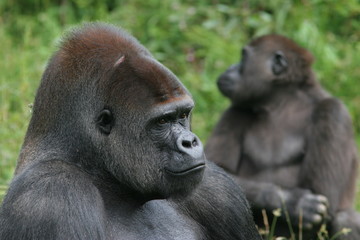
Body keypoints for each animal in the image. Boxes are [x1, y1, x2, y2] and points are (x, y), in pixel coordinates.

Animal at [205, 34, 360, 239]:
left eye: (243, 58)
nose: (230, 67)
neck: (280, 104)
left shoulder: (334, 112)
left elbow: (321, 190)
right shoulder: (236, 111)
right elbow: (216, 171)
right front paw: (294, 201)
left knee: (346, 219)